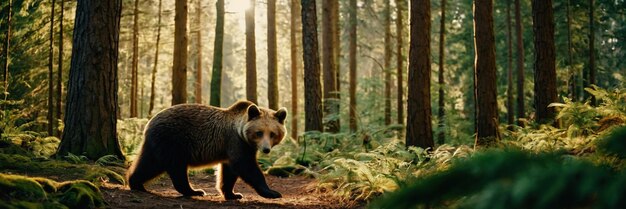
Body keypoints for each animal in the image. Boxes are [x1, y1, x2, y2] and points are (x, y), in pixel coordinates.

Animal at [127, 101, 288, 199]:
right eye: (259, 132)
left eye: (272, 134)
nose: (266, 149)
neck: (242, 133)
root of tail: (149, 122)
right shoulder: (236, 142)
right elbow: (246, 166)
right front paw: (272, 192)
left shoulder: (230, 149)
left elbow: (228, 172)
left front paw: (233, 194)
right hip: (173, 141)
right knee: (175, 168)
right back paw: (195, 191)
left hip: (158, 144)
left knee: (148, 162)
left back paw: (136, 183)